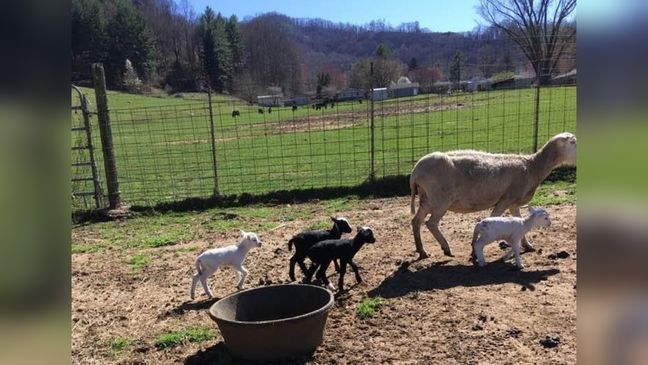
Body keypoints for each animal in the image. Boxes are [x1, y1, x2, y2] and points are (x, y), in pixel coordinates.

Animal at [410, 132, 576, 258]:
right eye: (573, 142)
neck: (533, 167)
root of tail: (415, 171)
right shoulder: (506, 199)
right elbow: (493, 217)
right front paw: (474, 250)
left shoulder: (514, 203)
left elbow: (520, 221)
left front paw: (527, 245)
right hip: (441, 200)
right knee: (431, 223)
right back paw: (446, 248)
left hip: (427, 199)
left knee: (416, 221)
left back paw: (422, 251)